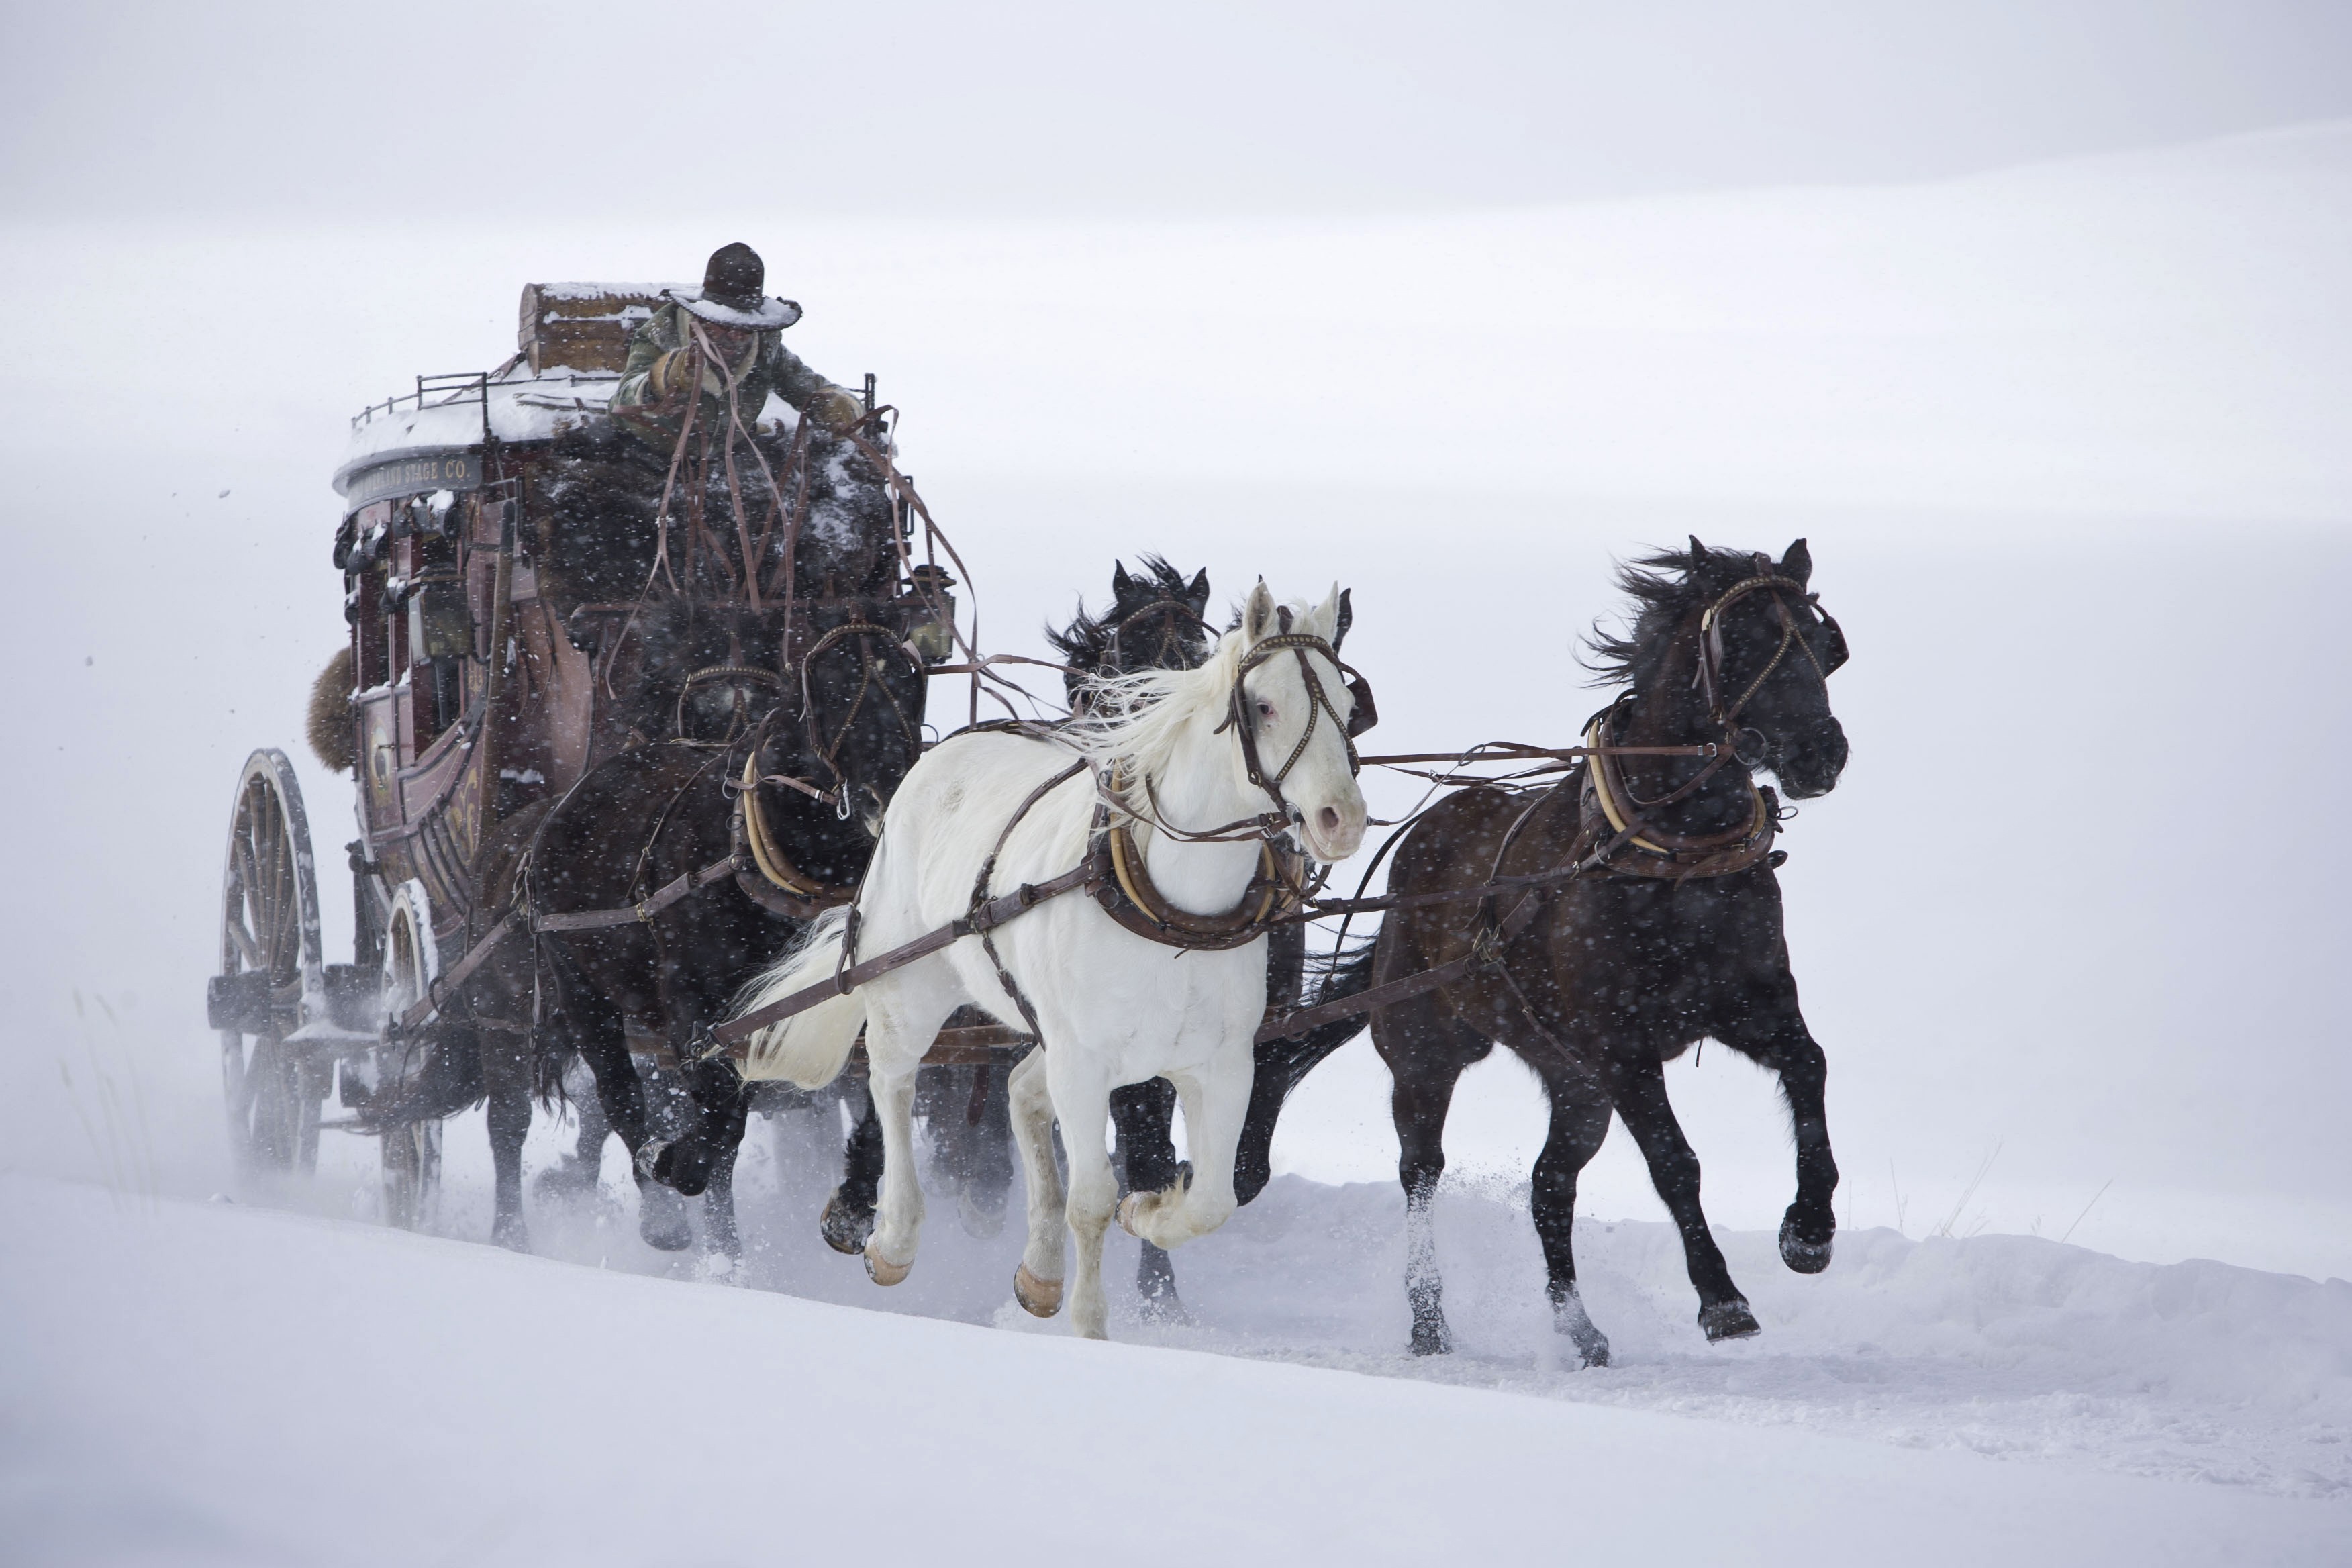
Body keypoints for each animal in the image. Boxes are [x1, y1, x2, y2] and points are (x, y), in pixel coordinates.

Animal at [729, 583, 1364, 1344]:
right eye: (1264, 705)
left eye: (1349, 706)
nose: (1341, 820)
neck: (1171, 907)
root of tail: (940, 754)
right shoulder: (1085, 1063)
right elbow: (1090, 1198)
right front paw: (1090, 1327)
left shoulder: (1220, 1062)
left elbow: (1212, 1200)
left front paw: (1150, 1211)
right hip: (911, 987)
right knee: (892, 1083)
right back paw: (895, 1238)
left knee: (1019, 1092)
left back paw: (1039, 1270)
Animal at [1251, 540, 1853, 1363]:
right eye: (1745, 641)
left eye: (1823, 644)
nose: (1823, 751)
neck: (1672, 857)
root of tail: (1418, 844)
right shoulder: (1620, 1046)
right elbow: (1675, 1162)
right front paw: (1723, 1298)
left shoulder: (1750, 1006)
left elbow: (1810, 1067)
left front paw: (1809, 1230)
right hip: (1428, 1050)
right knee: (1421, 1171)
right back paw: (1429, 1319)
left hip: (1574, 1084)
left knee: (1549, 1184)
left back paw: (1579, 1326)